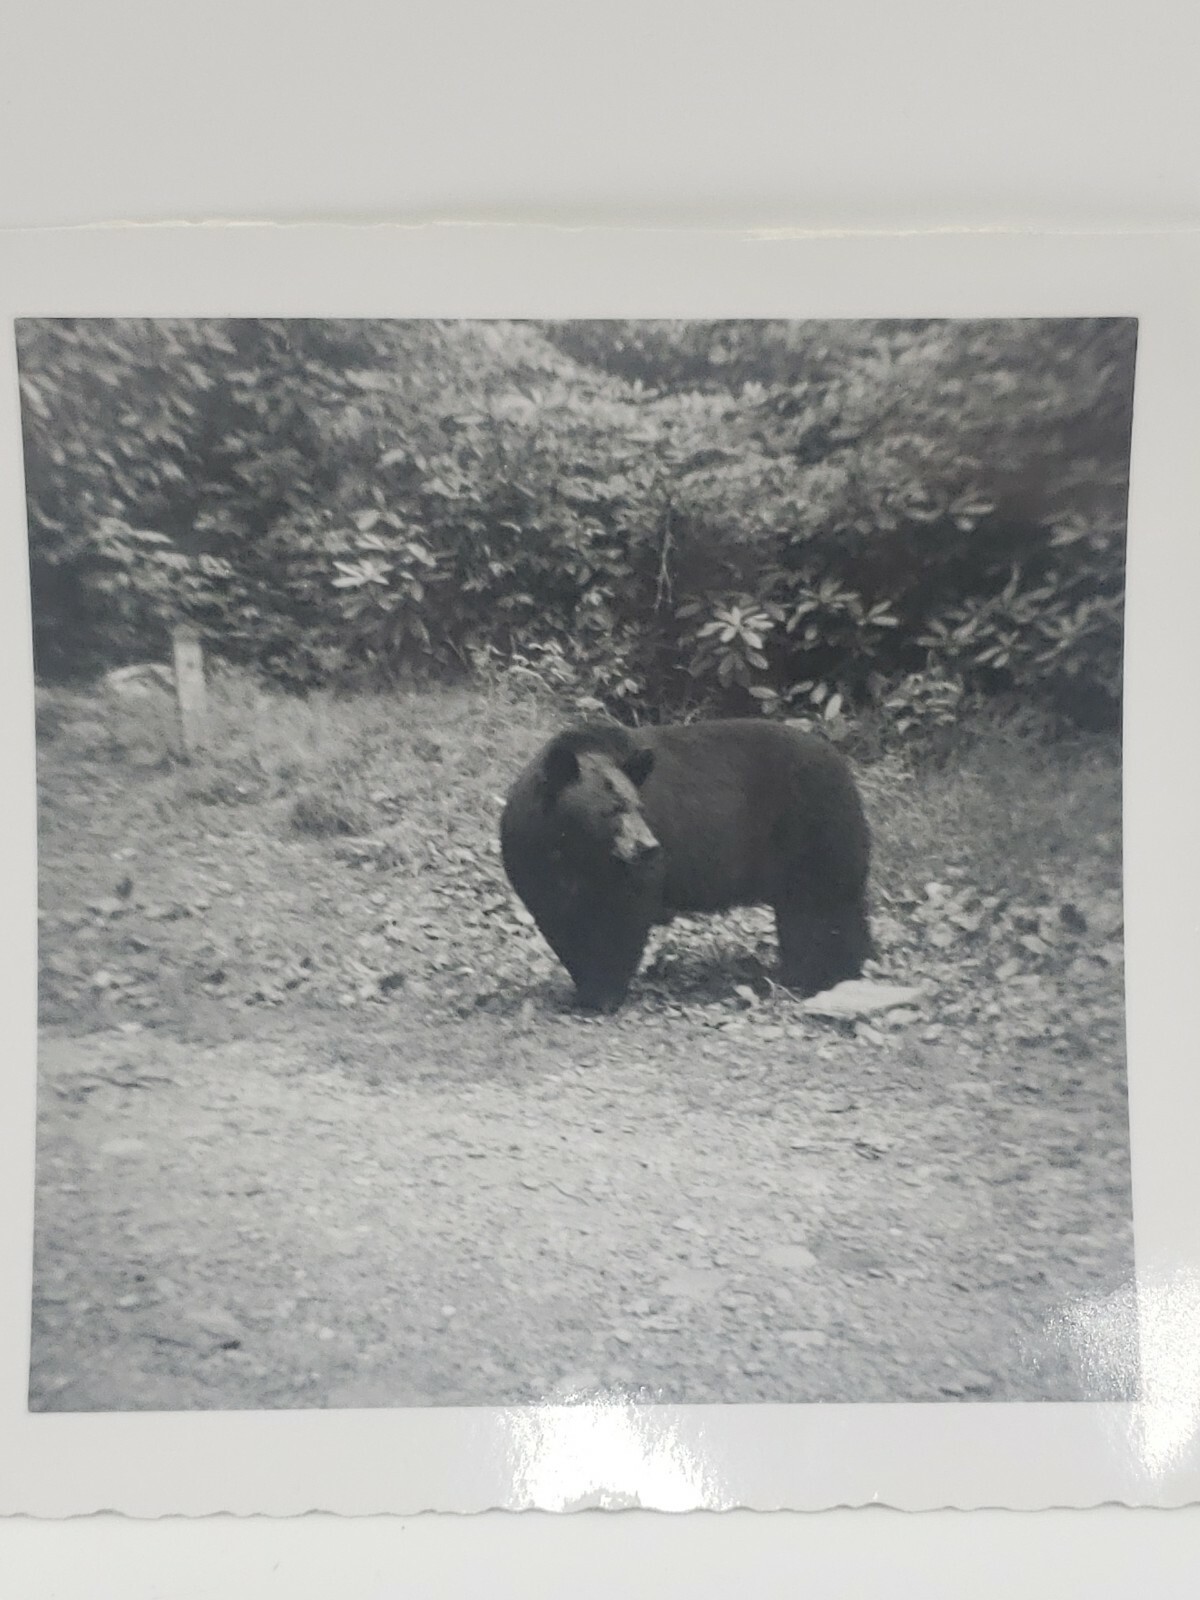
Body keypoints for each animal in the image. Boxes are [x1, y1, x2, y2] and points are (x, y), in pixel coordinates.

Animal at [499, 718, 872, 1011]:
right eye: (611, 810)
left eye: (638, 806)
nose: (647, 846)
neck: (575, 850)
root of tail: (844, 767)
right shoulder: (531, 854)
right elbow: (559, 921)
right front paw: (581, 989)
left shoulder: (627, 874)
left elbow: (622, 920)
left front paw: (602, 993)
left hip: (813, 828)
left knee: (823, 907)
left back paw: (826, 975)